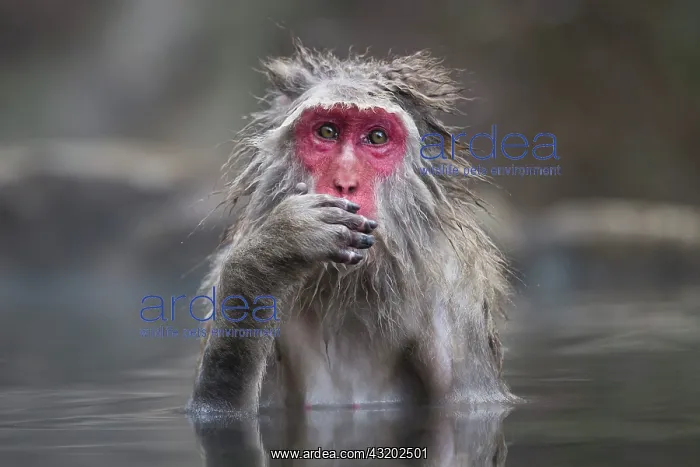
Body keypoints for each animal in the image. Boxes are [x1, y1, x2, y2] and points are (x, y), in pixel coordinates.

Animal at [187, 40, 516, 416]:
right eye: (327, 131)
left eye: (376, 137)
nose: (345, 183)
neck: (348, 282)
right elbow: (216, 412)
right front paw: (272, 252)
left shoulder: (459, 294)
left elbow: (474, 405)